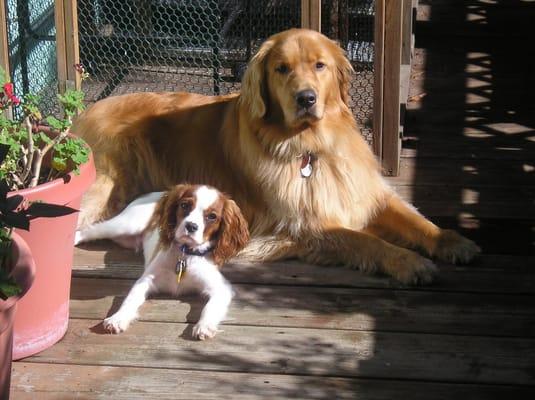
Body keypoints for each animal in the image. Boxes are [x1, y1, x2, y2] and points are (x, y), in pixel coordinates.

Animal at [75, 184, 249, 338]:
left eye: (212, 216)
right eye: (185, 205)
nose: (191, 226)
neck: (185, 255)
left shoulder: (221, 288)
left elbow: (211, 307)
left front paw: (204, 326)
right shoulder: (146, 280)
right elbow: (130, 299)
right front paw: (118, 318)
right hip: (126, 225)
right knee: (89, 230)